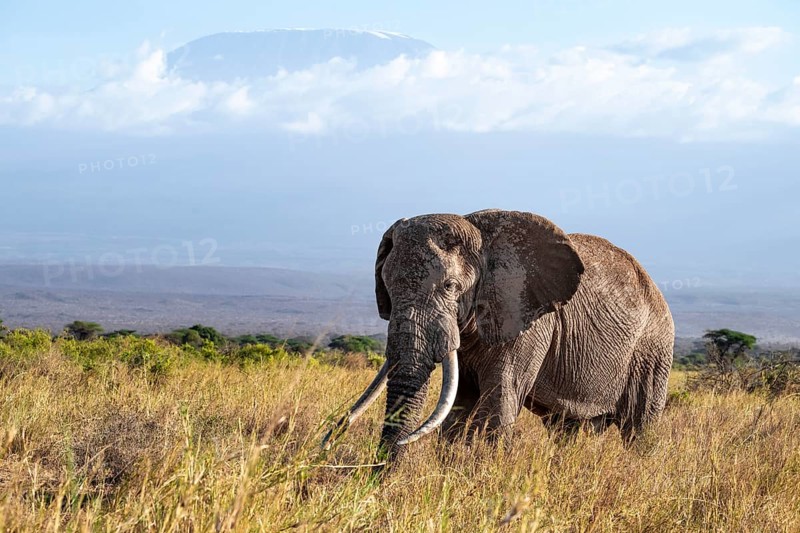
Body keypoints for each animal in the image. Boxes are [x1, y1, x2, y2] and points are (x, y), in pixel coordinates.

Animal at [323, 209, 674, 460]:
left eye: (450, 286)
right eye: (386, 286)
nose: (333, 431)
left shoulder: (527, 319)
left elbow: (499, 404)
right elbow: (459, 407)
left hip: (653, 351)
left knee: (640, 430)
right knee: (566, 429)